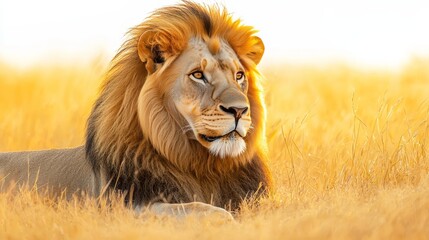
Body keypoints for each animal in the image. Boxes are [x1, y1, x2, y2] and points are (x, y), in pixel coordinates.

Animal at [0, 0, 270, 218]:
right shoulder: (126, 206)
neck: (200, 165)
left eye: (238, 75)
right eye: (197, 75)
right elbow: (202, 209)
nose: (239, 110)